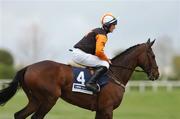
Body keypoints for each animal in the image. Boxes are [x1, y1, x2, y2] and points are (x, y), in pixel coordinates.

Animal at [0, 38, 160, 118]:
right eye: (153, 56)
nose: (157, 74)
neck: (115, 74)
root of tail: (28, 67)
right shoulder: (107, 109)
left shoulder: (101, 110)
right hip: (49, 99)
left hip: (35, 100)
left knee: (19, 115)